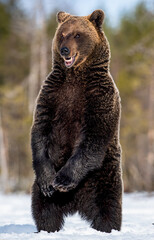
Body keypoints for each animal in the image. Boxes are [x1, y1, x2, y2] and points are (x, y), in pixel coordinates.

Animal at [31, 9, 122, 232]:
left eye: (78, 35)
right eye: (62, 34)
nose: (64, 50)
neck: (75, 76)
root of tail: (76, 204)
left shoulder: (99, 97)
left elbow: (94, 135)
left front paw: (63, 180)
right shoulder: (52, 95)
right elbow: (40, 131)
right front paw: (50, 182)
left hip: (104, 176)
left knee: (108, 207)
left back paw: (106, 227)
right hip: (44, 187)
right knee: (44, 209)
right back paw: (47, 228)